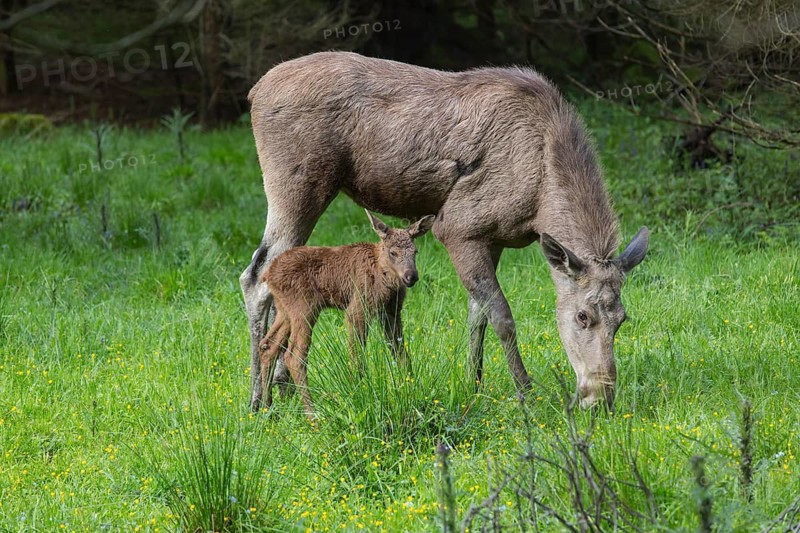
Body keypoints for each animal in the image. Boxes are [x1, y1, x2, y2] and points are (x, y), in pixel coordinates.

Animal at [257, 210, 434, 419]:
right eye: (393, 252)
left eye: (415, 251)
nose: (411, 276)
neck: (386, 279)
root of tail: (267, 275)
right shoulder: (357, 308)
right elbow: (357, 355)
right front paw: (360, 391)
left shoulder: (391, 311)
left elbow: (401, 353)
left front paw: (411, 389)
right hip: (304, 308)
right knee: (294, 356)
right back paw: (312, 415)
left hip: (285, 311)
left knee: (268, 346)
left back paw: (268, 409)